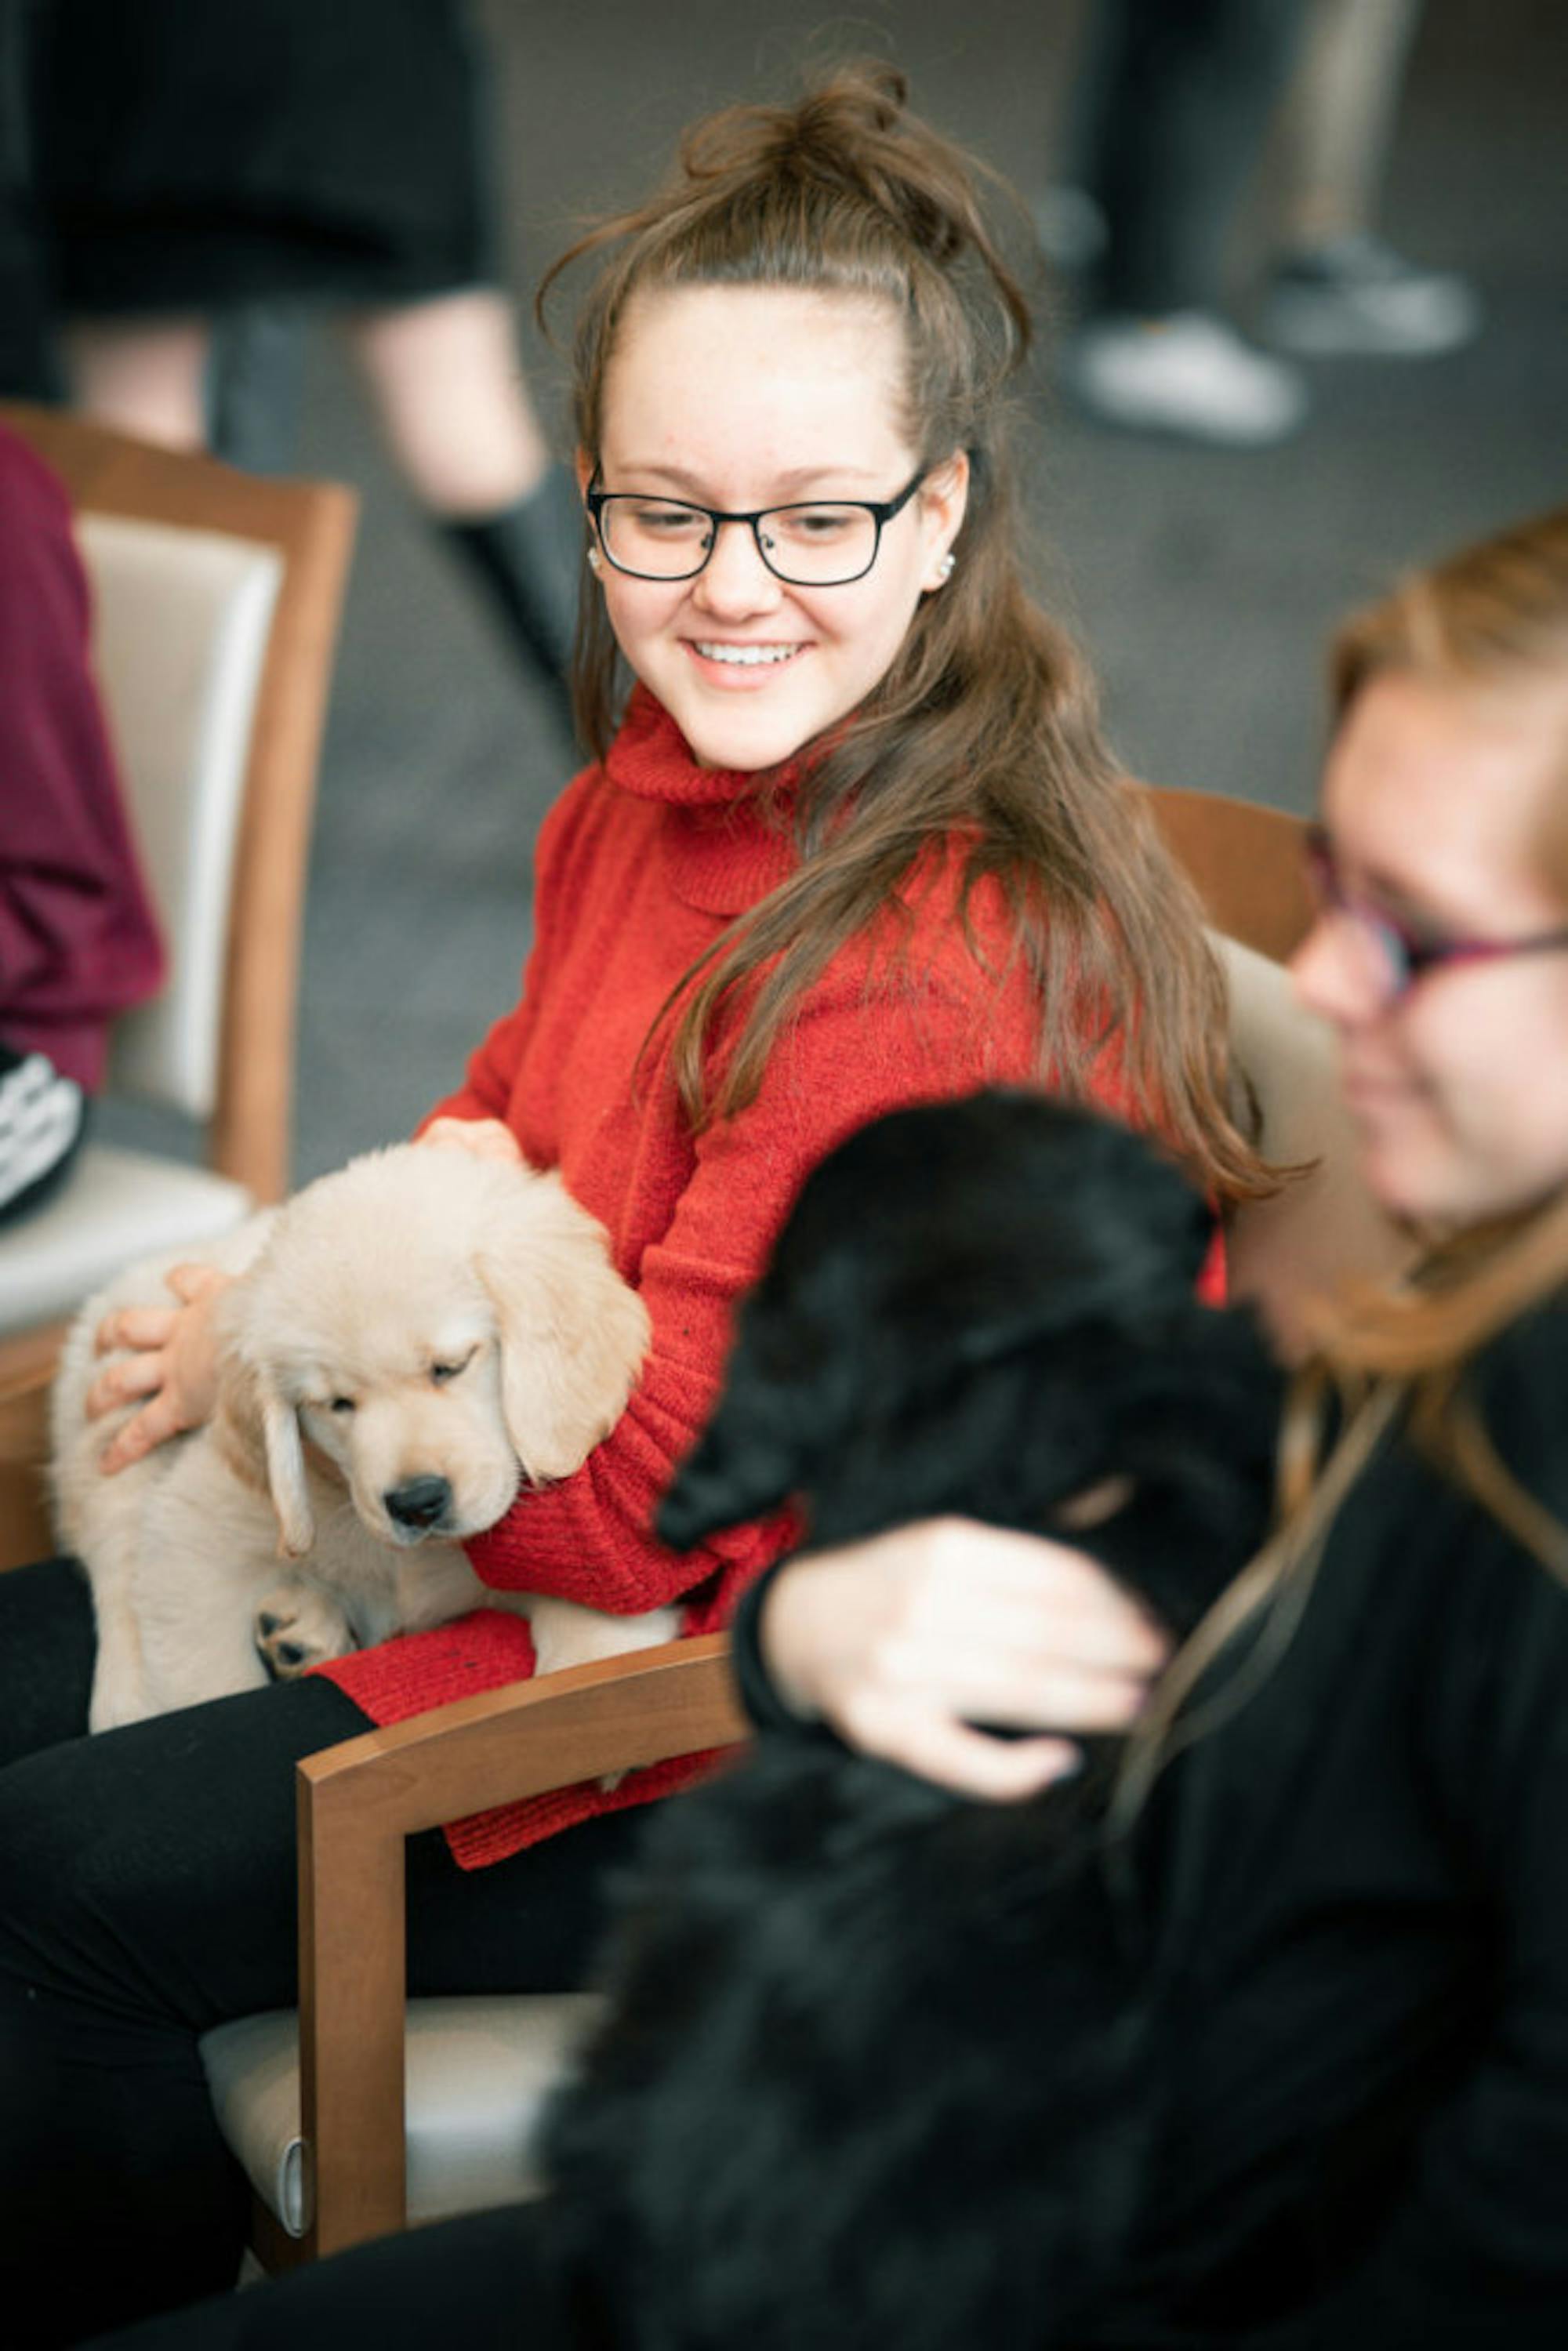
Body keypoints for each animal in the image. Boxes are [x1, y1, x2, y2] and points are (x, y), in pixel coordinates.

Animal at [52, 1147, 677, 1740]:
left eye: (450, 1366)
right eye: (336, 1404)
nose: (417, 1503)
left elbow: (591, 1642)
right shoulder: (194, 1529)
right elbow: (202, 1668)